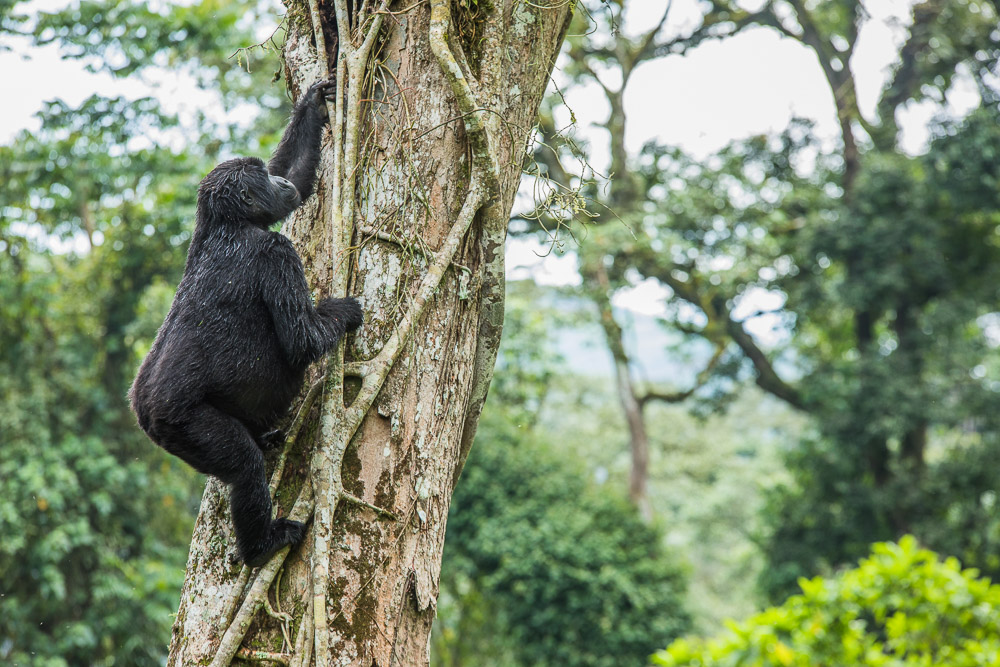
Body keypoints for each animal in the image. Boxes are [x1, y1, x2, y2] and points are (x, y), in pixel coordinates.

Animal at [130, 79, 364, 568]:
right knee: (243, 468)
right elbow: (301, 340)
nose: (277, 183)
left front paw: (315, 102)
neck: (228, 223)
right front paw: (342, 312)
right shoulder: (277, 254)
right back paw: (262, 545)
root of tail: (142, 413)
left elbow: (298, 173)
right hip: (187, 428)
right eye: (262, 180)